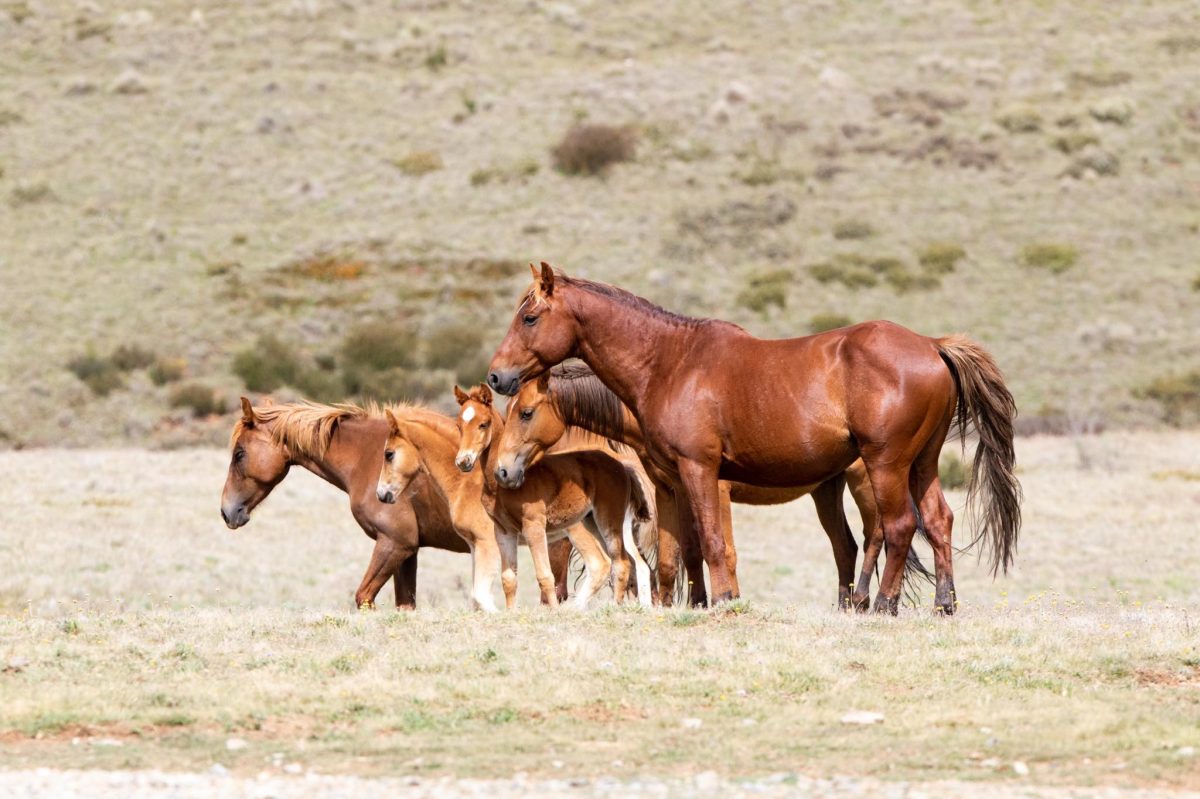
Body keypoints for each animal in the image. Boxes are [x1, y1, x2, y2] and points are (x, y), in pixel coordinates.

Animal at [487, 263, 1022, 611]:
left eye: (529, 317)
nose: (496, 376)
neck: (671, 362)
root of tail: (931, 346)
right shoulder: (673, 481)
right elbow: (681, 549)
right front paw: (690, 604)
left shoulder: (701, 471)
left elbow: (714, 542)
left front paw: (724, 601)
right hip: (920, 465)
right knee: (936, 520)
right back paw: (943, 604)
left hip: (885, 466)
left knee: (896, 528)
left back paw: (882, 605)